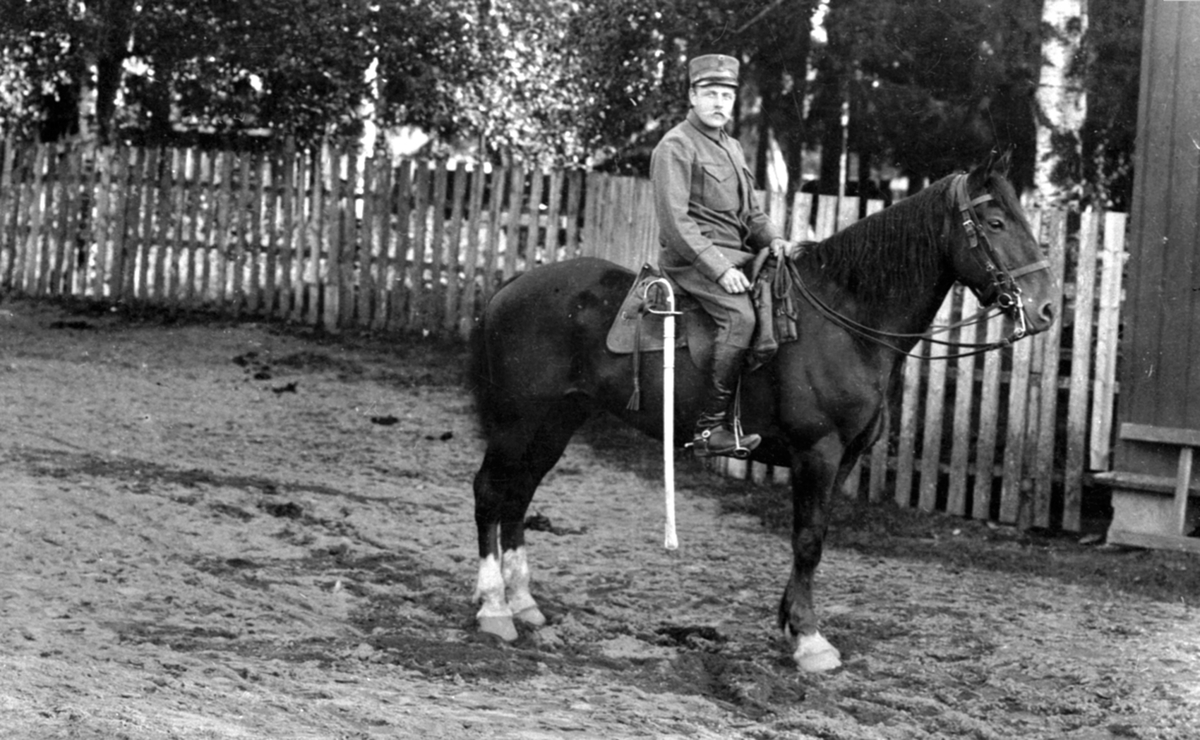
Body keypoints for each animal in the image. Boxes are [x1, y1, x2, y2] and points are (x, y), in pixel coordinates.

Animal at [468, 155, 1060, 671]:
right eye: (996, 221)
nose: (1047, 308)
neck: (845, 321)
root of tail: (510, 286)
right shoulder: (817, 452)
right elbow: (808, 540)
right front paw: (811, 640)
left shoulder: (844, 459)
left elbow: (815, 538)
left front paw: (792, 624)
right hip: (519, 421)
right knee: (491, 491)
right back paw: (494, 608)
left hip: (557, 422)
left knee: (520, 494)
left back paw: (524, 603)